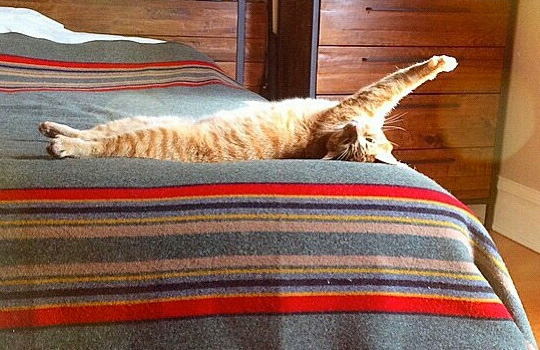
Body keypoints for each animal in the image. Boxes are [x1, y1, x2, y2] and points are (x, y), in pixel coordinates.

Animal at [40, 55, 458, 163]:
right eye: (360, 142)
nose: (355, 131)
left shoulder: (357, 103)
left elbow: (400, 79)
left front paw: (441, 63)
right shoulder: (363, 104)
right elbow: (403, 80)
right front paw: (444, 62)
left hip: (148, 133)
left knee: (99, 143)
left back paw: (60, 144)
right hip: (140, 120)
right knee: (92, 130)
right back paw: (53, 127)